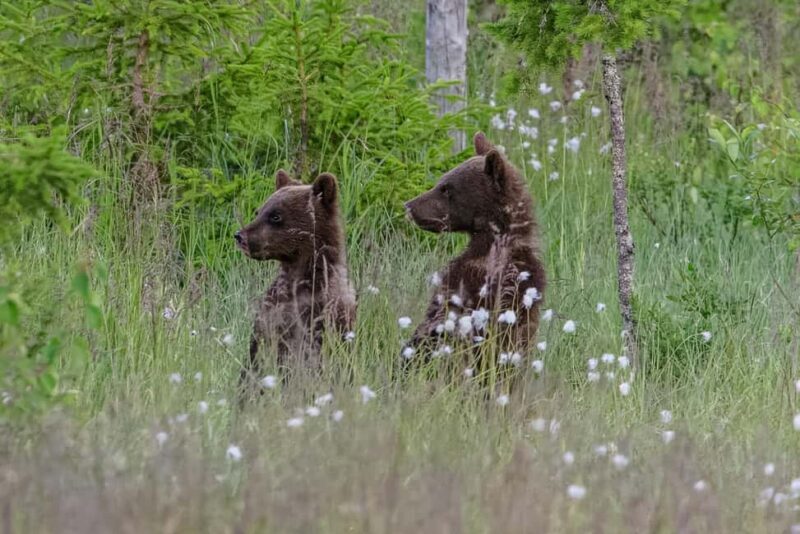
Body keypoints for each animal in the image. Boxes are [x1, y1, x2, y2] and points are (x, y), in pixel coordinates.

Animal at [234, 170, 356, 388]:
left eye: (275, 216)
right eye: (259, 211)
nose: (240, 236)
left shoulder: (325, 314)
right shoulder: (272, 313)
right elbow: (257, 352)